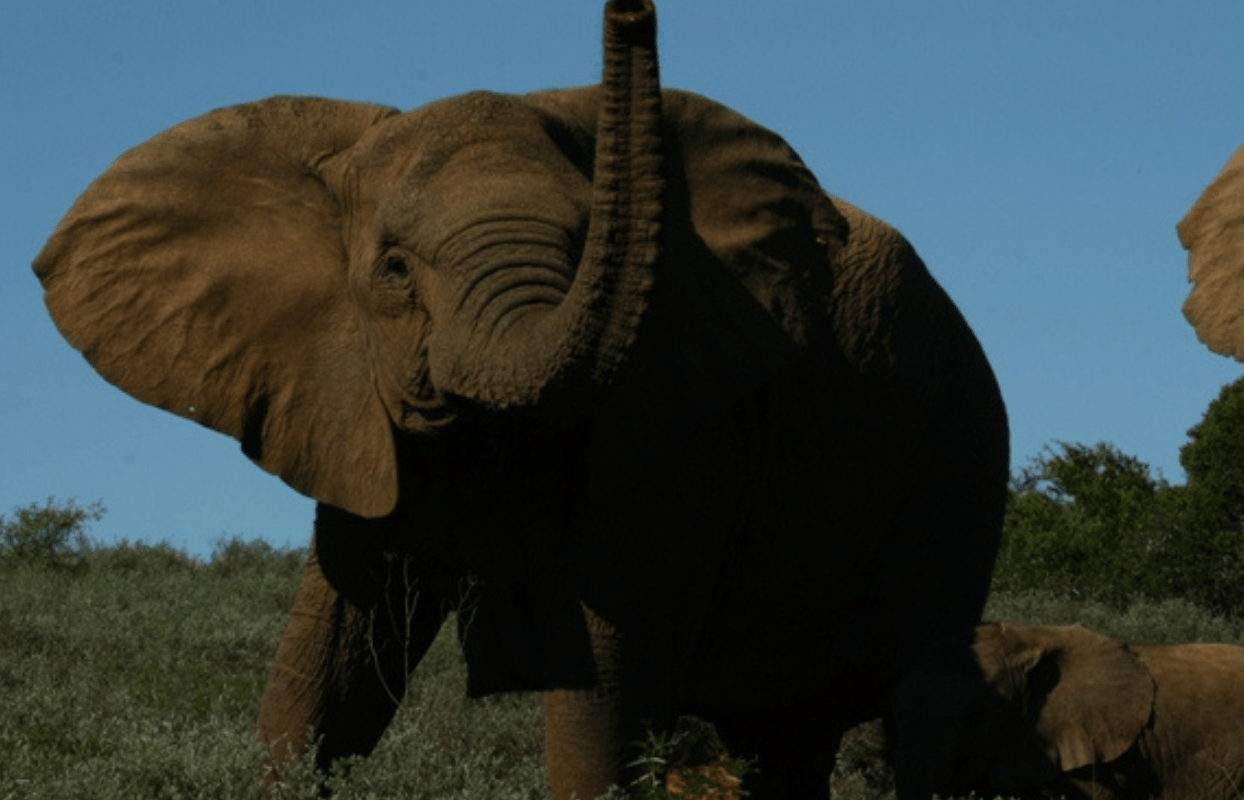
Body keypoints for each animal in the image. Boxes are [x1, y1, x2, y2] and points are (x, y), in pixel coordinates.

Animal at [31, 1, 1008, 798]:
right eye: (394, 271)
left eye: (584, 248)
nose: (631, 9)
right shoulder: (347, 401)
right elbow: (331, 665)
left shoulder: (674, 424)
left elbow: (600, 692)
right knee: (786, 743)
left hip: (957, 469)